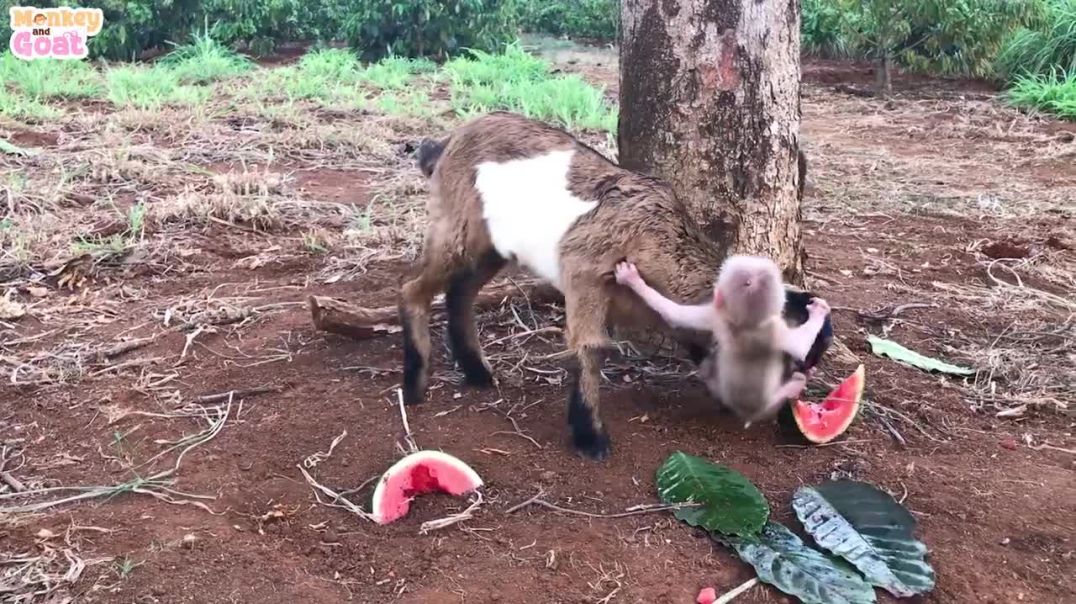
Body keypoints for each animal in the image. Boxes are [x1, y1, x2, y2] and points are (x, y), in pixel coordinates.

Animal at [614, 255, 832, 427]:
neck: (747, 323)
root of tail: (745, 415)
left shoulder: (718, 315)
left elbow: (674, 313)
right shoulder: (772, 326)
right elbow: (799, 346)